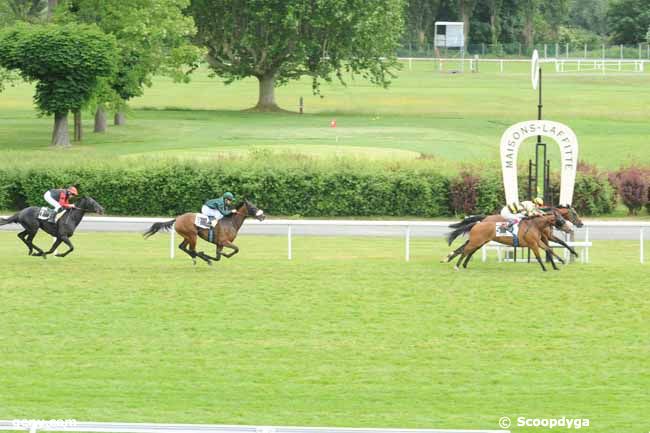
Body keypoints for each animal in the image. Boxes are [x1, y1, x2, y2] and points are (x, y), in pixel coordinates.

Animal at [440, 212, 568, 270]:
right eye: (561, 220)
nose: (569, 228)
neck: (535, 225)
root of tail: (478, 223)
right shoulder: (532, 244)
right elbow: (538, 256)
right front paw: (545, 268)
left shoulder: (538, 242)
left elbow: (549, 249)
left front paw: (560, 262)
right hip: (476, 241)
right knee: (465, 250)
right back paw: (456, 265)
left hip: (479, 241)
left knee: (466, 250)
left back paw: (456, 261)